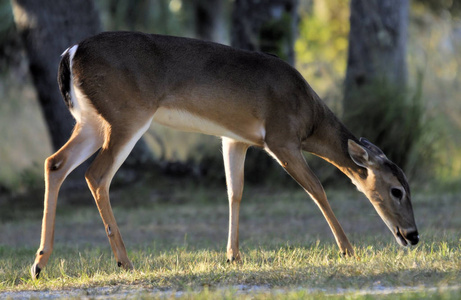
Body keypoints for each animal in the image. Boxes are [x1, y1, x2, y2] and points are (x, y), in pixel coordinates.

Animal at [29, 31, 416, 278]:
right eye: (396, 189)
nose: (412, 236)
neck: (309, 117)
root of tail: (70, 53)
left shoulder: (235, 140)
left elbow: (235, 192)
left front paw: (233, 256)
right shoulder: (280, 139)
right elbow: (317, 189)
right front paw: (347, 249)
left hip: (93, 121)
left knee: (55, 163)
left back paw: (39, 263)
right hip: (127, 115)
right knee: (96, 175)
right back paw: (124, 262)